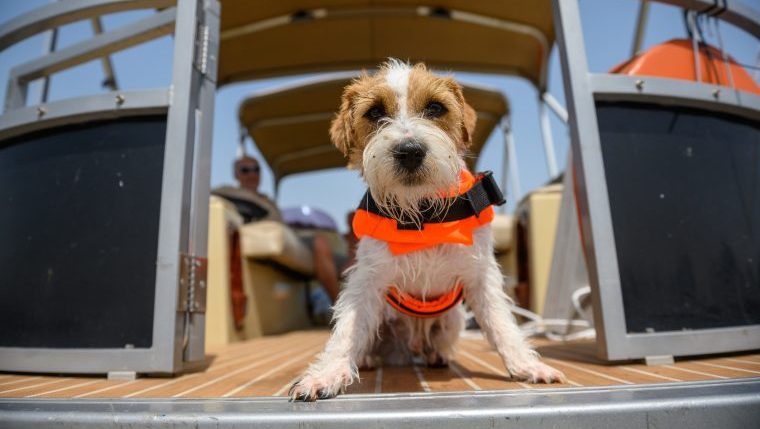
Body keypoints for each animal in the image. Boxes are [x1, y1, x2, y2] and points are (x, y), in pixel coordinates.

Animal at [290, 58, 564, 400]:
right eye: (375, 112)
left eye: (435, 108)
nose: (409, 150)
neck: (422, 212)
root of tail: (412, 346)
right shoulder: (366, 280)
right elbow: (348, 329)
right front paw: (326, 375)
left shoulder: (480, 275)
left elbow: (501, 323)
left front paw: (526, 365)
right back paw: (367, 359)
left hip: (453, 319)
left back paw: (437, 355)